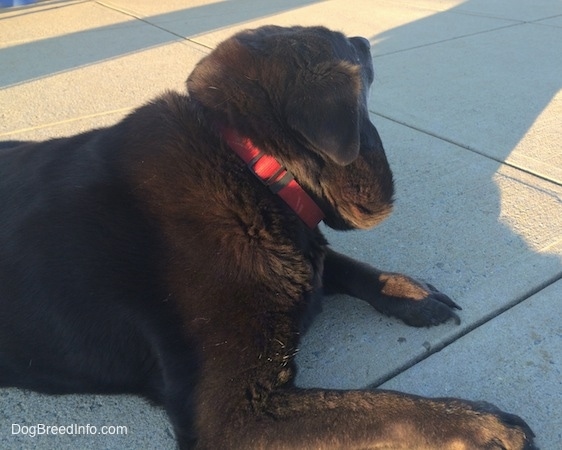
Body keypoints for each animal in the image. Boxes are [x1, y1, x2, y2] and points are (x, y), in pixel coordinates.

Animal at [0, 25, 532, 450]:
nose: (364, 40)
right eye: (344, 45)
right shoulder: (233, 415)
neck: (253, 168)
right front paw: (473, 422)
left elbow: (343, 264)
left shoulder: (303, 250)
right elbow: (378, 407)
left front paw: (410, 292)